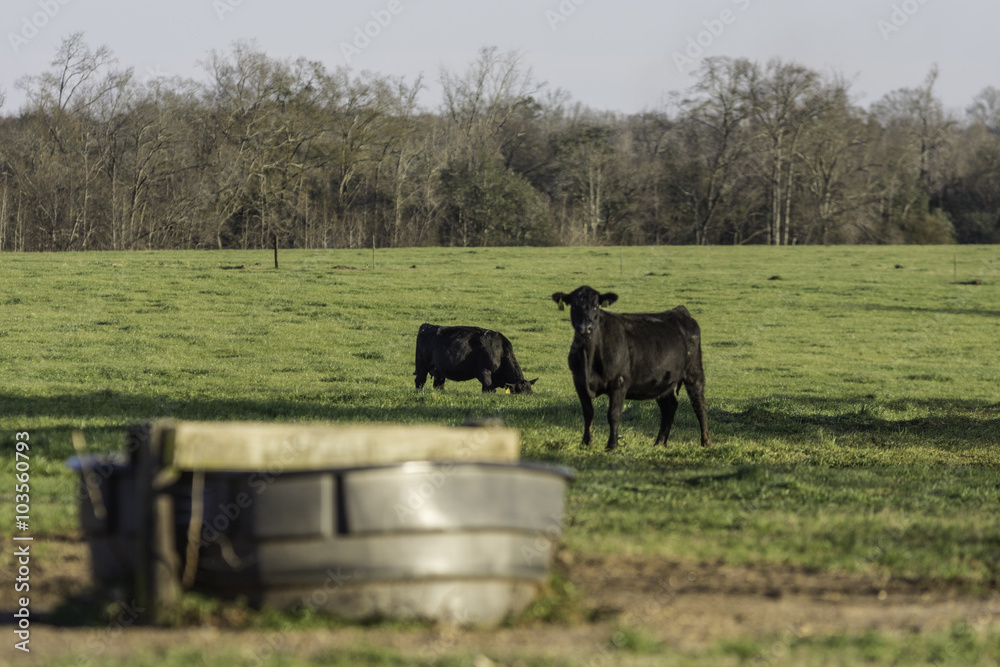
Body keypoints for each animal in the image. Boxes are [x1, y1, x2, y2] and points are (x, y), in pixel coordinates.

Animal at [550, 286, 710, 451]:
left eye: (596, 306)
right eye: (574, 306)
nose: (585, 328)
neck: (589, 359)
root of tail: (679, 311)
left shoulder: (619, 382)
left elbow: (613, 414)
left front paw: (612, 445)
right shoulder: (579, 381)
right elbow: (588, 412)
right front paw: (586, 442)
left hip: (694, 372)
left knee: (699, 405)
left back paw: (706, 442)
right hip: (663, 381)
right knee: (669, 407)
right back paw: (659, 442)